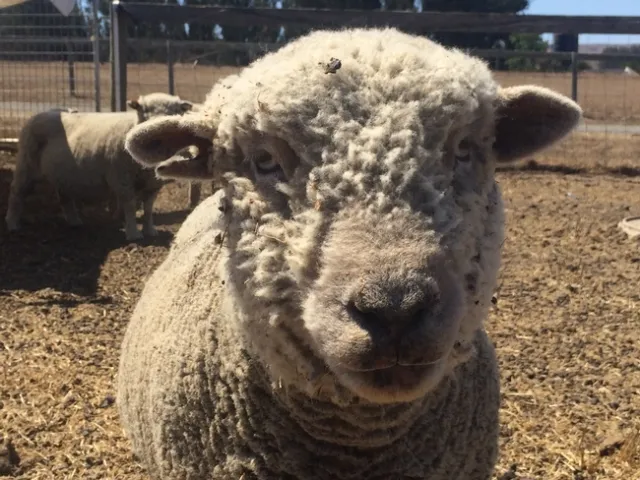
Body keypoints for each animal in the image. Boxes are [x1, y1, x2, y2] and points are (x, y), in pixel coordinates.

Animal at [4, 93, 194, 240]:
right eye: (143, 112)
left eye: (175, 113)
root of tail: (44, 112)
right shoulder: (121, 179)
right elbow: (130, 206)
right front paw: (133, 234)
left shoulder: (153, 185)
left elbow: (148, 209)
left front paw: (150, 231)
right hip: (26, 164)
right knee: (16, 193)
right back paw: (12, 224)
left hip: (62, 173)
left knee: (64, 197)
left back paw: (75, 222)